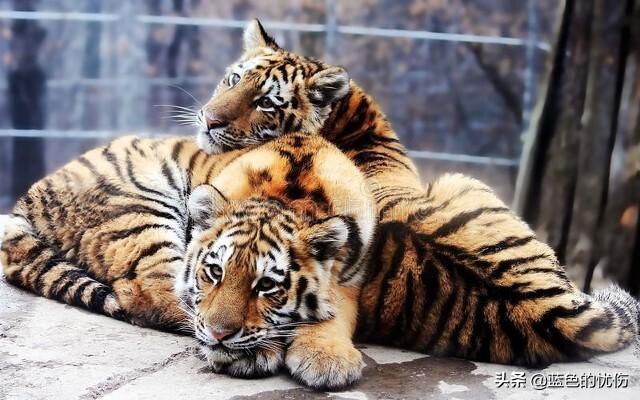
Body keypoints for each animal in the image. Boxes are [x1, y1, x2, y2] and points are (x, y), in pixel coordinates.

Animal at [0, 133, 376, 389]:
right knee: (151, 295)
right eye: (215, 271)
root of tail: (30, 196)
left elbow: (336, 311)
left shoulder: (353, 275)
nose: (220, 335)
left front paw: (327, 359)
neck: (291, 198)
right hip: (141, 210)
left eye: (267, 285)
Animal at [191, 19, 640, 367]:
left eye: (266, 102)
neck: (351, 118)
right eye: (234, 79)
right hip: (462, 179)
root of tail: (548, 309)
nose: (209, 120)